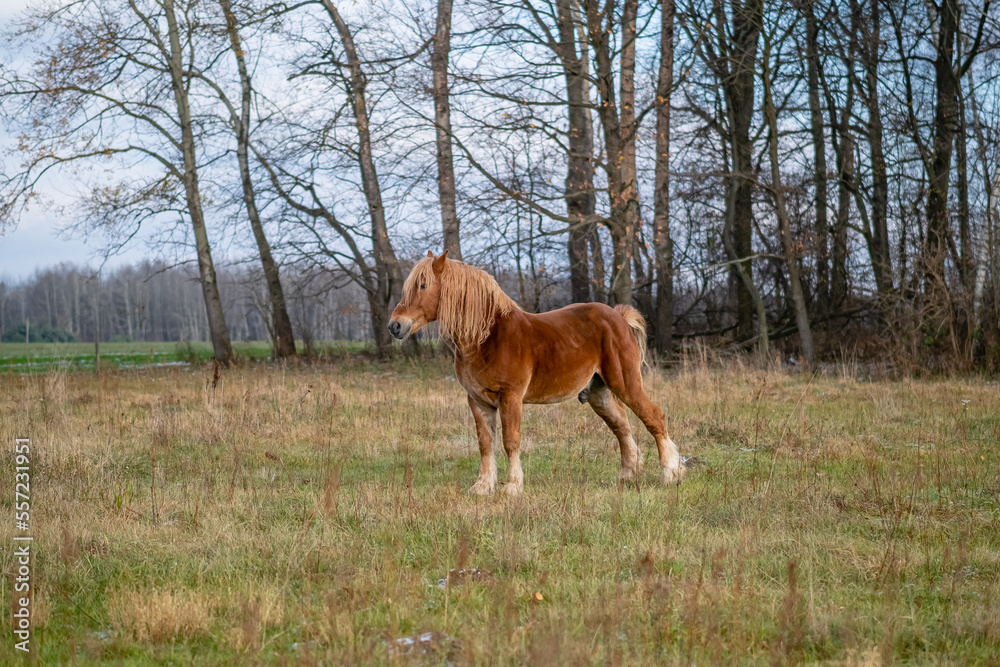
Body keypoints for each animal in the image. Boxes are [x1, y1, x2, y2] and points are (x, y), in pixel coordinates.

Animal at [388, 250, 686, 495]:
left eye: (423, 285)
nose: (395, 326)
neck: (487, 337)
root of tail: (618, 317)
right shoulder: (478, 401)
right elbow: (485, 443)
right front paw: (482, 487)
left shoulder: (510, 397)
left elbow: (510, 441)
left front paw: (512, 486)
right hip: (598, 393)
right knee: (621, 427)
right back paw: (627, 476)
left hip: (625, 383)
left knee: (654, 418)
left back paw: (671, 474)